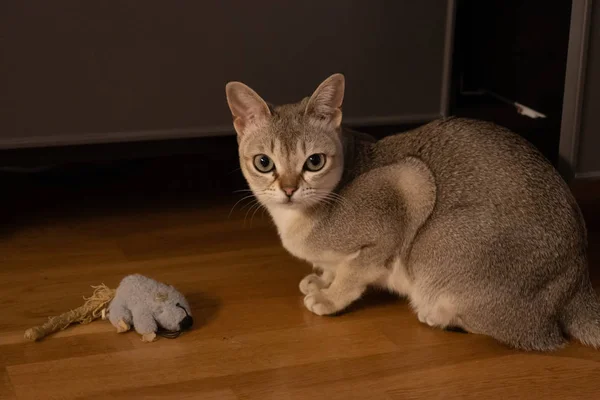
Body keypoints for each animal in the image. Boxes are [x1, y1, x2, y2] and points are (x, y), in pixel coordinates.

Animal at [223, 73, 596, 352]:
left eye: (314, 162)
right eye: (264, 162)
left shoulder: (407, 185)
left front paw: (330, 298)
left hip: (437, 246)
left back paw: (438, 315)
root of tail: (578, 282)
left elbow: (354, 272)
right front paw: (322, 279)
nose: (288, 189)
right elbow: (334, 266)